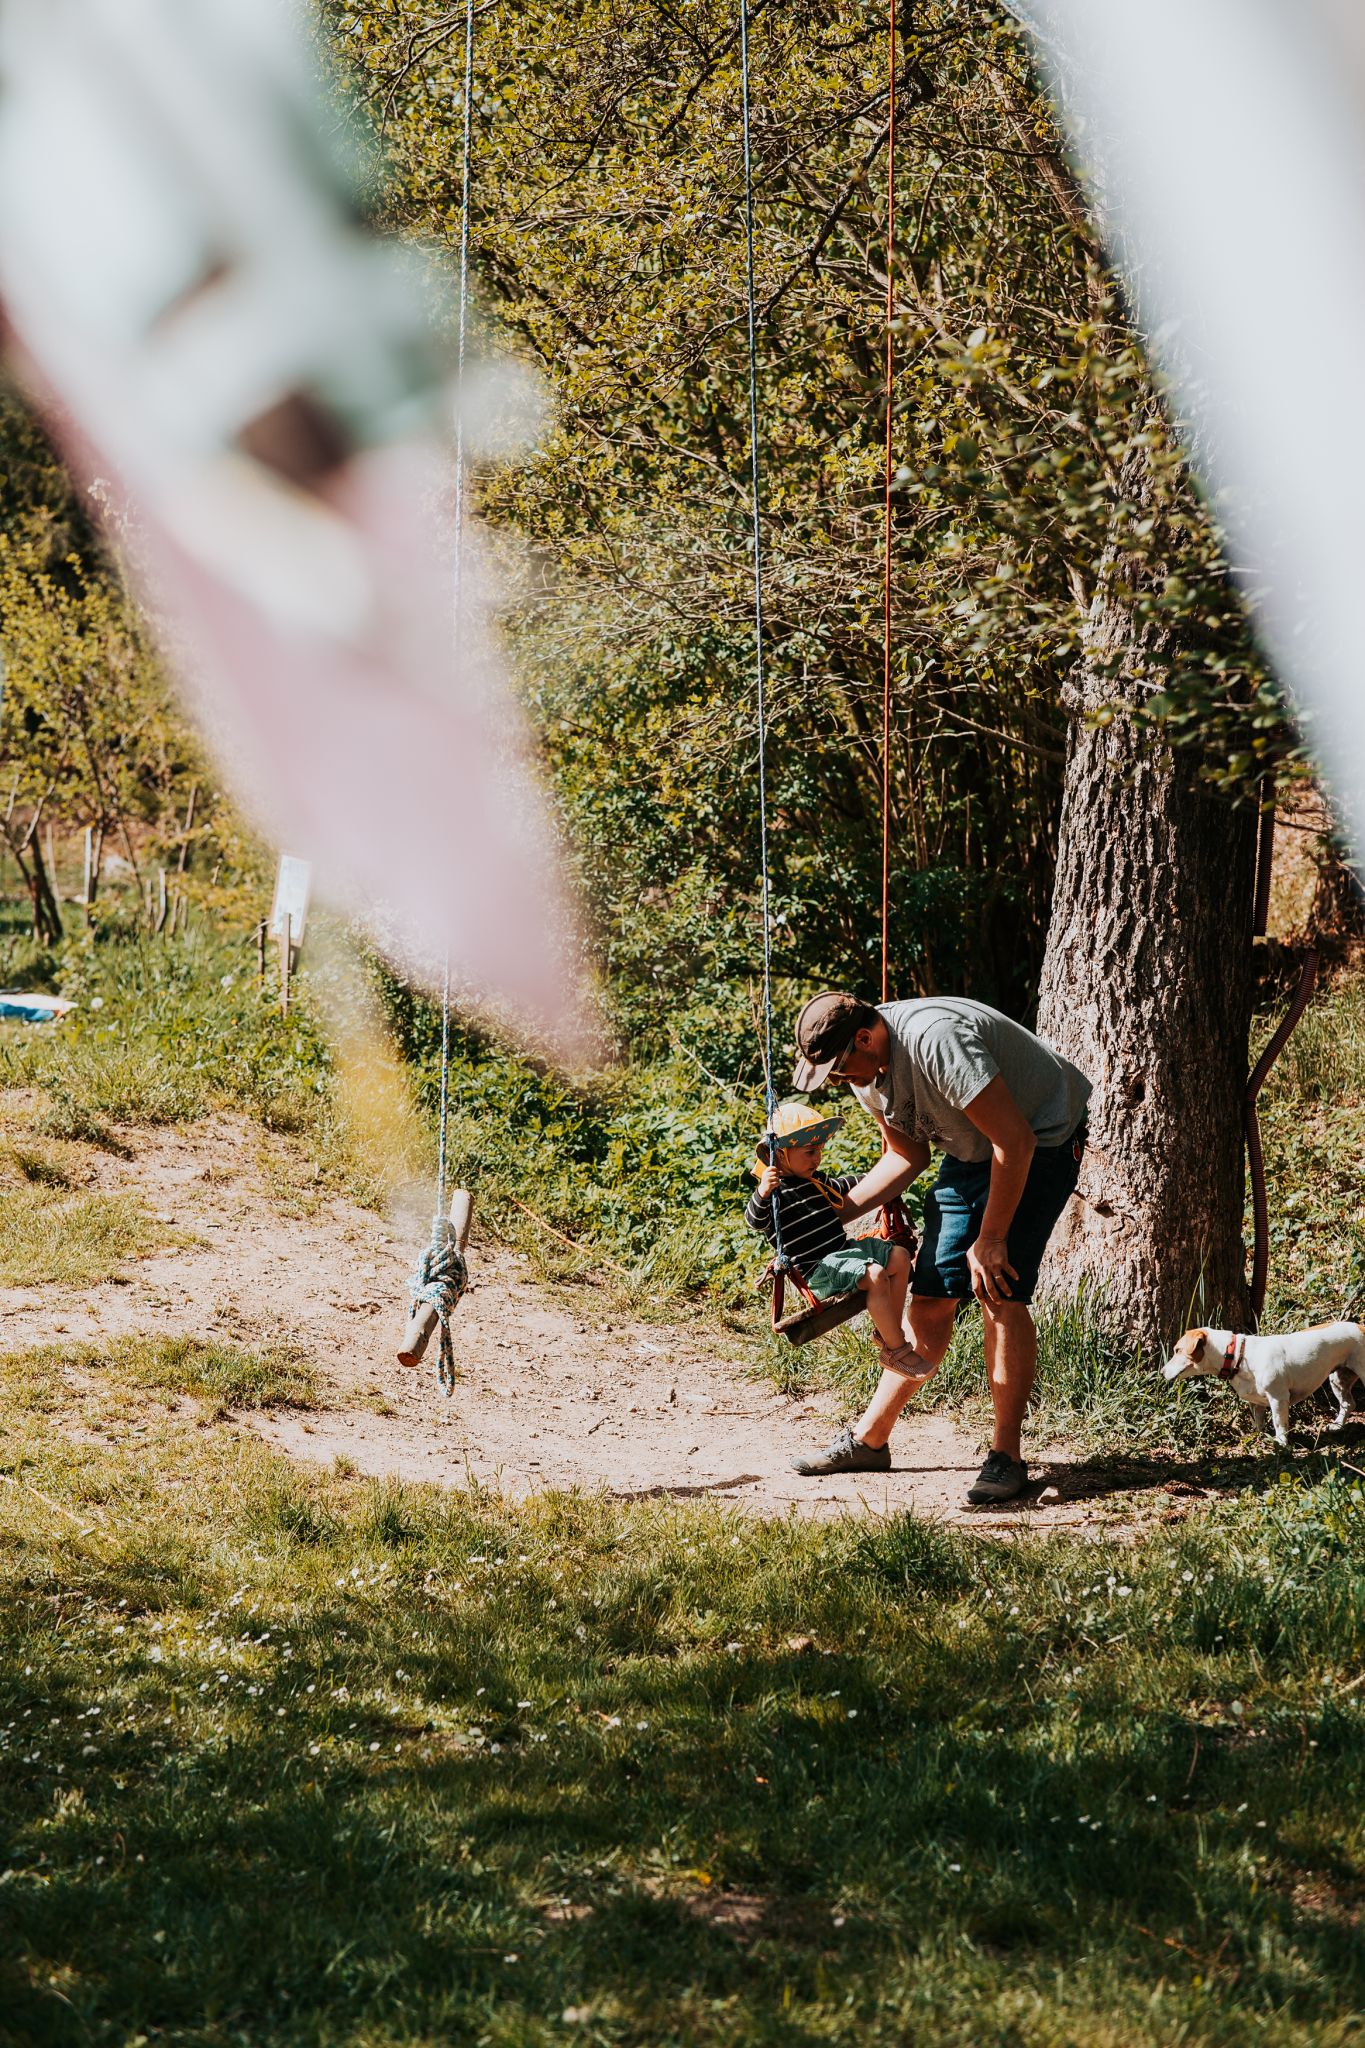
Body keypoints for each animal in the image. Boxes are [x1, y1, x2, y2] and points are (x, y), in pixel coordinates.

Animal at [1162, 1322, 1365, 1447]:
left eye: (1177, 1350)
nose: (1162, 1372)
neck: (1238, 1355)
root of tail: (1360, 1326)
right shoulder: (1256, 1402)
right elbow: (1258, 1421)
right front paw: (1258, 1436)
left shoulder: (1278, 1398)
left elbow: (1279, 1423)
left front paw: (1281, 1444)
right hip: (1337, 1379)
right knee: (1348, 1403)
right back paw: (1337, 1426)